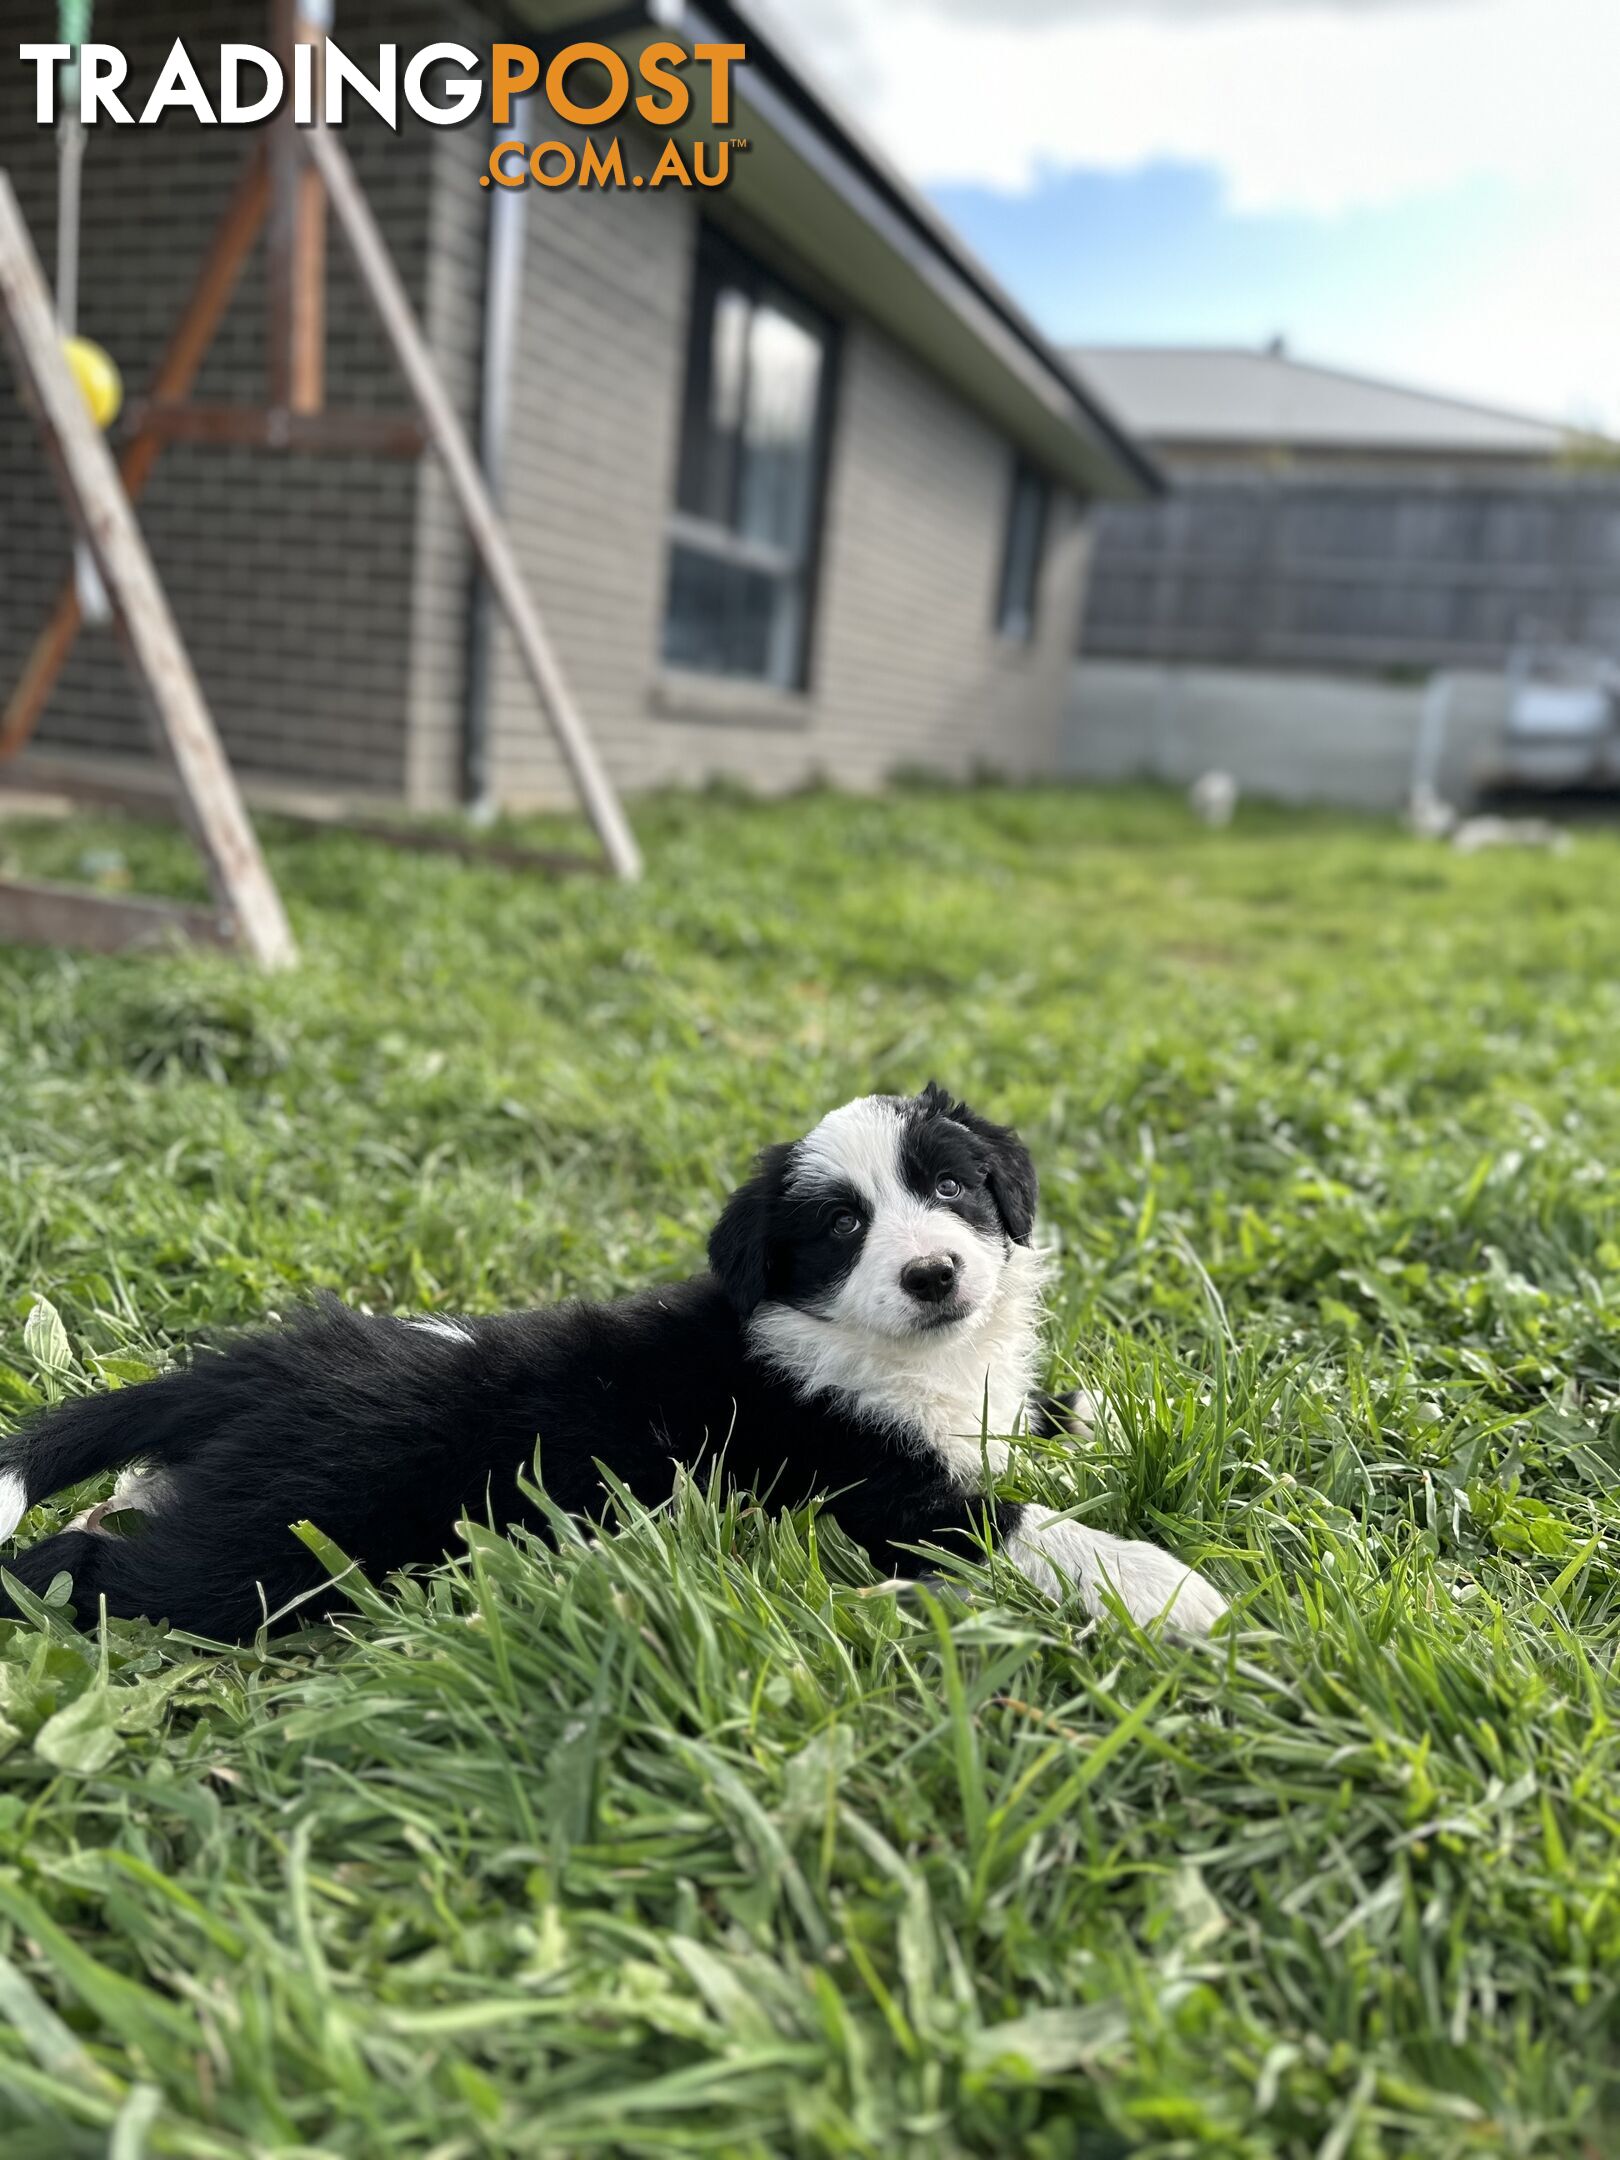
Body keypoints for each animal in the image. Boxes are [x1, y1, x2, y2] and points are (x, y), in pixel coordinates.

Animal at [0, 1088, 1226, 1641]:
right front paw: (1165, 1585)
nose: (934, 1274)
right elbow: (1014, 1518)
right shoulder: (855, 1491)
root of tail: (254, 1372)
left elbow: (1045, 1416)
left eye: (955, 1186)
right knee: (107, 1569)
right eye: (841, 1229)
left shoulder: (976, 1410)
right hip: (296, 1538)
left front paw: (1148, 1416)